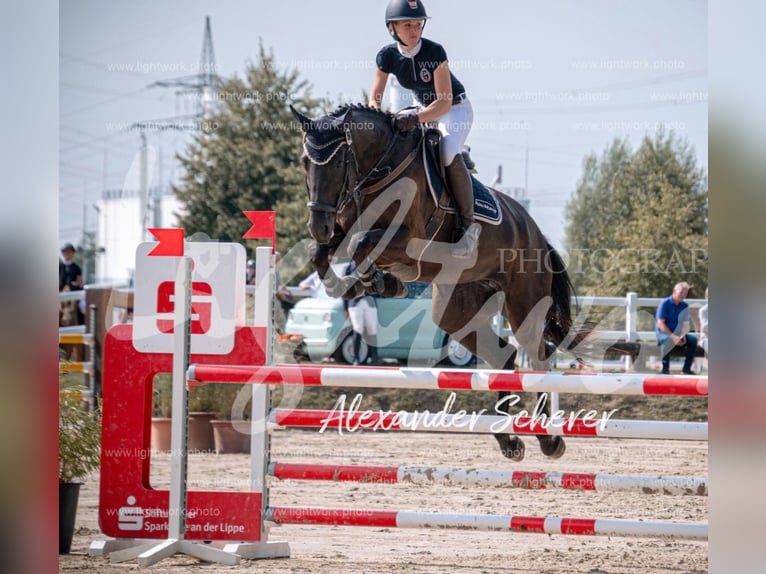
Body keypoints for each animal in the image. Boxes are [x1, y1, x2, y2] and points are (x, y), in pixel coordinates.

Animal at [292, 104, 592, 464]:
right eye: (304, 162)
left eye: (338, 163)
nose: (318, 225)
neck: (380, 170)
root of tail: (535, 232)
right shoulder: (345, 230)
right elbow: (321, 252)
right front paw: (358, 285)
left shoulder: (406, 239)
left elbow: (361, 245)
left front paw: (381, 283)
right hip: (456, 312)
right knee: (504, 356)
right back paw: (510, 441)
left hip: (523, 306)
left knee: (539, 355)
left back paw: (549, 440)